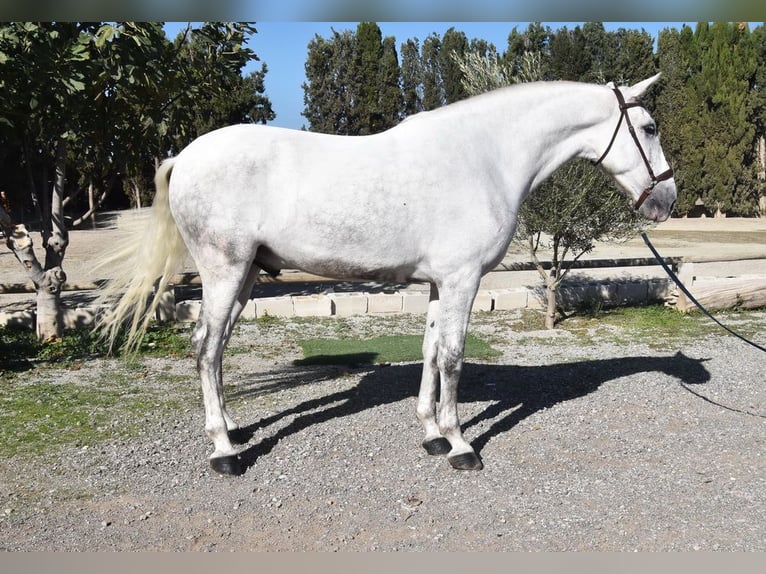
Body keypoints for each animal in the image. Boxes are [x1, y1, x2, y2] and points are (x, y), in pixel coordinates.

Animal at [96, 74, 676, 476]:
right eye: (648, 128)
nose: (667, 200)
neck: (484, 156)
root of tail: (185, 156)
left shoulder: (441, 283)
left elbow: (430, 352)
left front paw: (431, 433)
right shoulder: (464, 280)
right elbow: (454, 357)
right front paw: (460, 445)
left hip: (245, 278)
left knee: (214, 351)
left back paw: (234, 432)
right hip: (224, 270)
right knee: (205, 347)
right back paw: (223, 452)